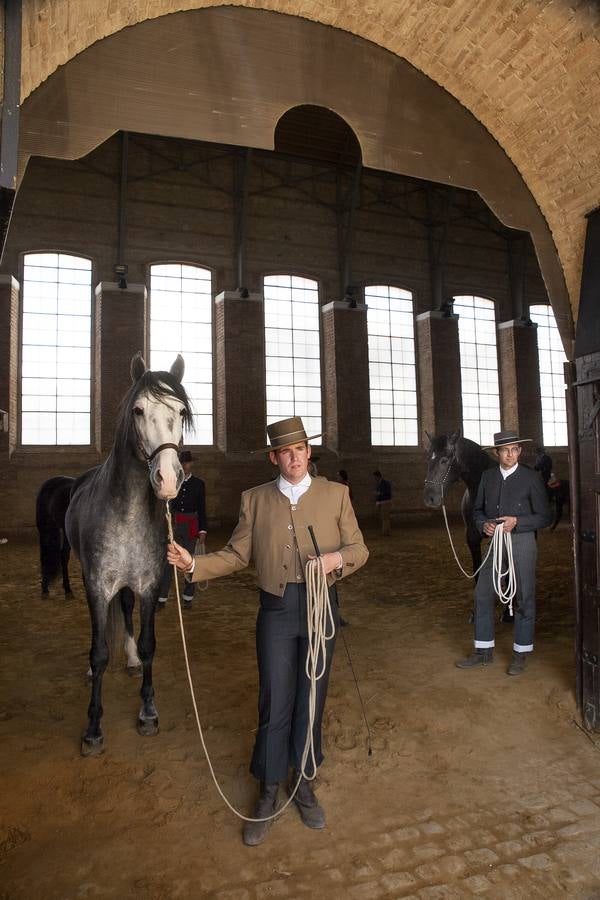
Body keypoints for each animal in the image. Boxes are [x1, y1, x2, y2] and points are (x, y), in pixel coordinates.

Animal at [63, 356, 190, 756]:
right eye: (138, 410)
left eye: (181, 411)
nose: (168, 478)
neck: (127, 513)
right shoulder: (96, 585)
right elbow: (99, 652)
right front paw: (92, 729)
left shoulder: (148, 585)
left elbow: (149, 645)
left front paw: (148, 712)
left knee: (126, 609)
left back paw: (131, 659)